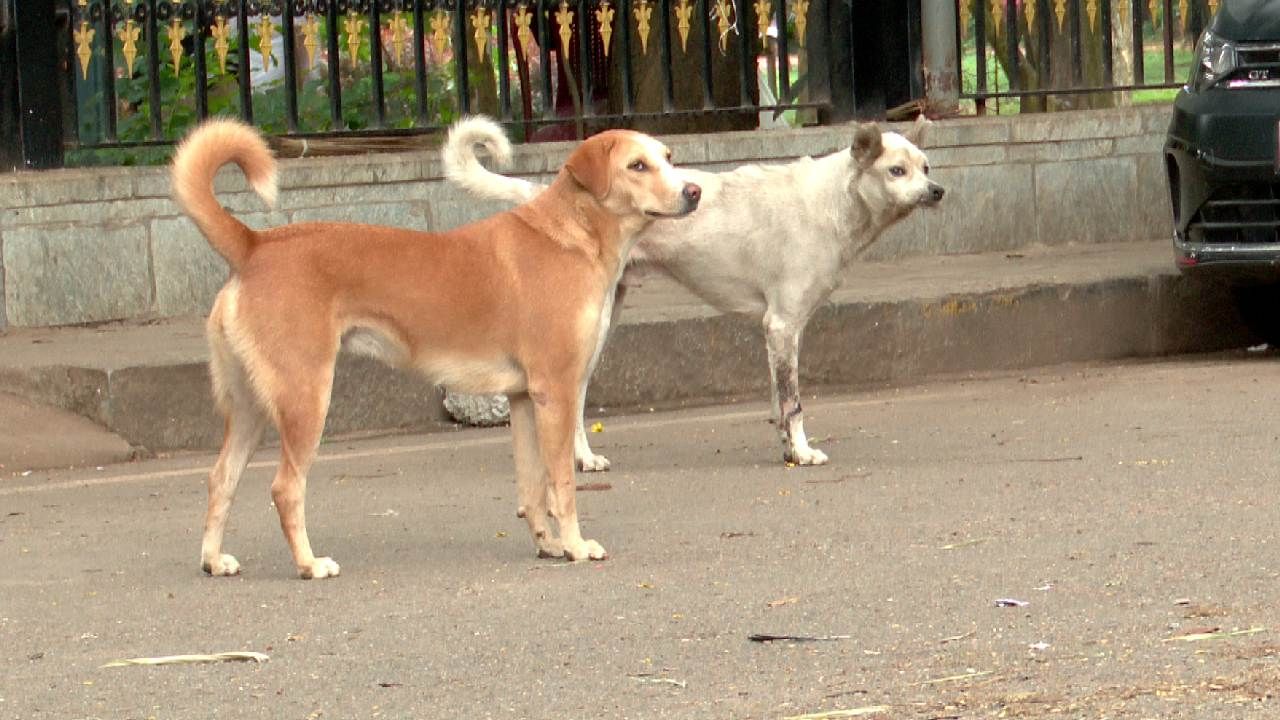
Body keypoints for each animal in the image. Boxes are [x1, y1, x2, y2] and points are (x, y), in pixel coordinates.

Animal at [170, 119, 701, 576]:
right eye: (637, 165)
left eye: (668, 157)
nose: (693, 191)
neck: (572, 234)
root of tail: (254, 245)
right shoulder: (557, 392)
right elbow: (562, 484)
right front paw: (573, 545)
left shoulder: (524, 399)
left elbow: (533, 489)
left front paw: (547, 544)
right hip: (304, 398)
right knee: (284, 488)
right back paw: (309, 564)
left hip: (251, 407)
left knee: (221, 479)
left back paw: (213, 560)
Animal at [440, 117, 942, 468]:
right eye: (897, 170)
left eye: (926, 167)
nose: (938, 190)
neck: (833, 200)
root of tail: (549, 192)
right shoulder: (783, 326)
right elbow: (794, 403)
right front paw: (802, 453)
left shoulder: (775, 335)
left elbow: (779, 405)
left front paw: (787, 451)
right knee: (573, 399)